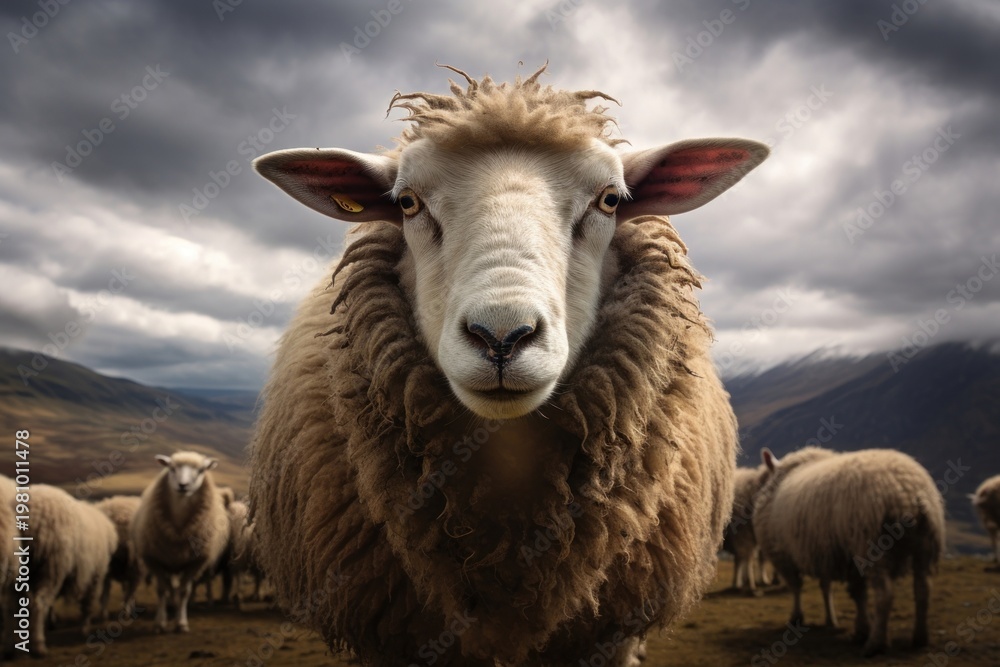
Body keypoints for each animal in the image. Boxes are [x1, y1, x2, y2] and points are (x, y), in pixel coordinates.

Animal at [21, 483, 117, 657]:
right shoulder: (95, 574)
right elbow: (88, 604)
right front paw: (85, 629)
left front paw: (52, 623)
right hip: (52, 565)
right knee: (38, 603)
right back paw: (38, 646)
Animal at [131, 451, 229, 633]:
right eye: (171, 468)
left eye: (201, 470)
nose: (183, 485)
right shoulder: (154, 559)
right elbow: (162, 590)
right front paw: (160, 623)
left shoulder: (195, 562)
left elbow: (184, 591)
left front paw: (181, 623)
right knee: (169, 586)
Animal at [753, 446, 945, 657]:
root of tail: (908, 491)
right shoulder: (829, 553)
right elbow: (844, 591)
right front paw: (843, 623)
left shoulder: (784, 556)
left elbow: (796, 587)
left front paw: (797, 617)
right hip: (925, 544)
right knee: (923, 589)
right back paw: (920, 638)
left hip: (872, 545)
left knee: (884, 594)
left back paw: (876, 643)